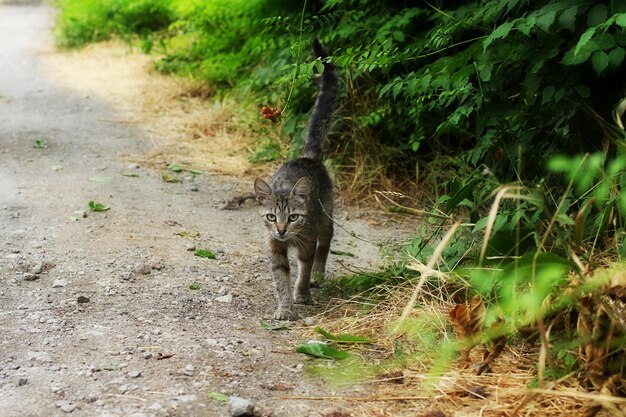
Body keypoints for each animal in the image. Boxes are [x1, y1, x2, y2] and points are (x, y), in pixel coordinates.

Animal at [252, 38, 336, 318]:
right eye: (271, 217)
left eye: (293, 217)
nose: (281, 230)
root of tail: (308, 157)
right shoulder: (274, 247)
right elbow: (281, 279)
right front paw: (285, 307)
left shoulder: (306, 241)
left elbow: (304, 268)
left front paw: (302, 294)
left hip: (325, 216)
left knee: (326, 242)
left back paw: (319, 275)